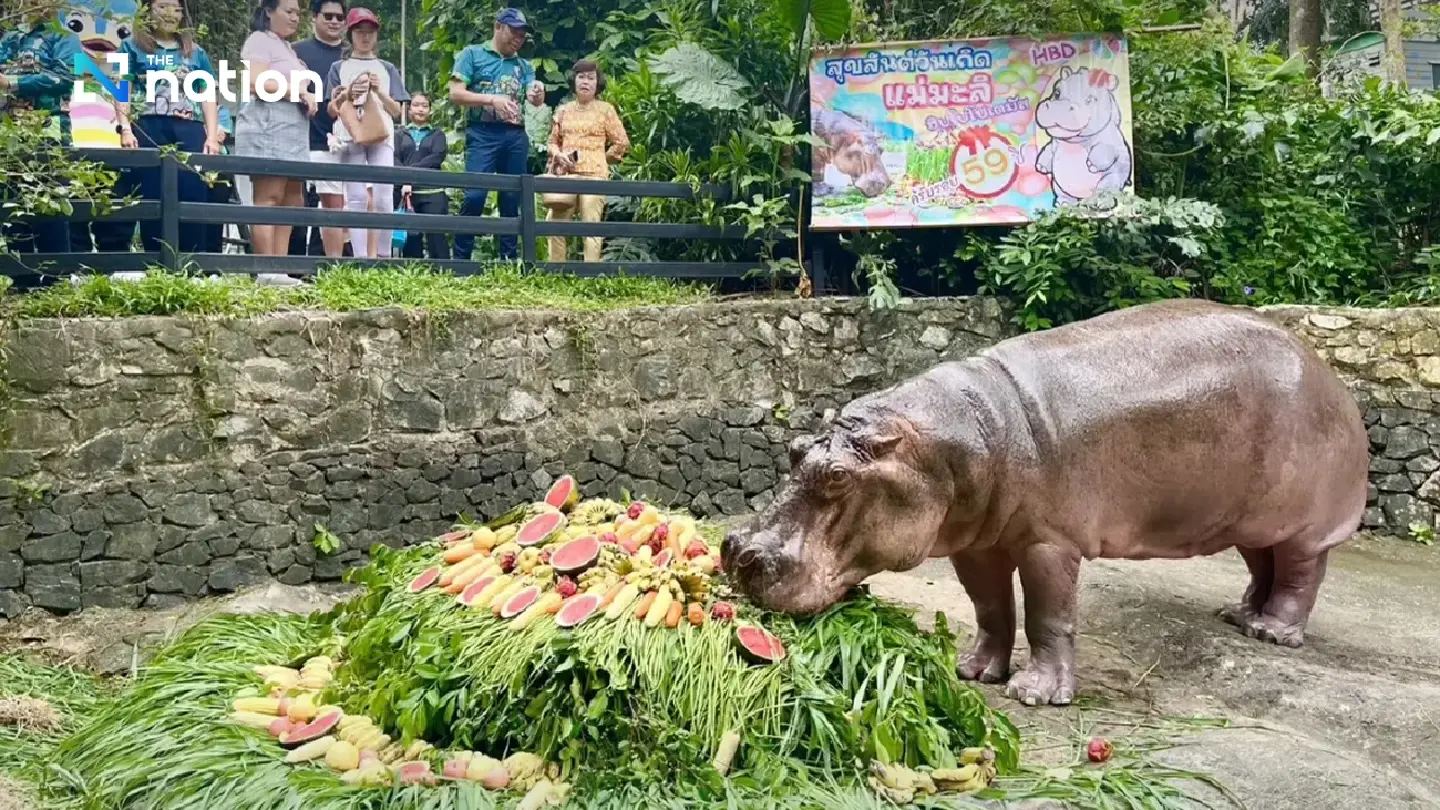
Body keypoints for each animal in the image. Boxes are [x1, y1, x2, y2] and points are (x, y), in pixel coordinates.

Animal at [722, 299, 1368, 706]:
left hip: (1304, 521)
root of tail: (1328, 372)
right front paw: (973, 671)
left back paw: (1273, 632)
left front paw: (1034, 694)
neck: (957, 438)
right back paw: (1239, 616)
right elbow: (990, 607)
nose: (738, 551)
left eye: (837, 476)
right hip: (1250, 519)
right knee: (1264, 563)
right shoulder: (976, 544)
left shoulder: (1048, 543)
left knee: (1301, 573)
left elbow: (1047, 616)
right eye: (794, 450)